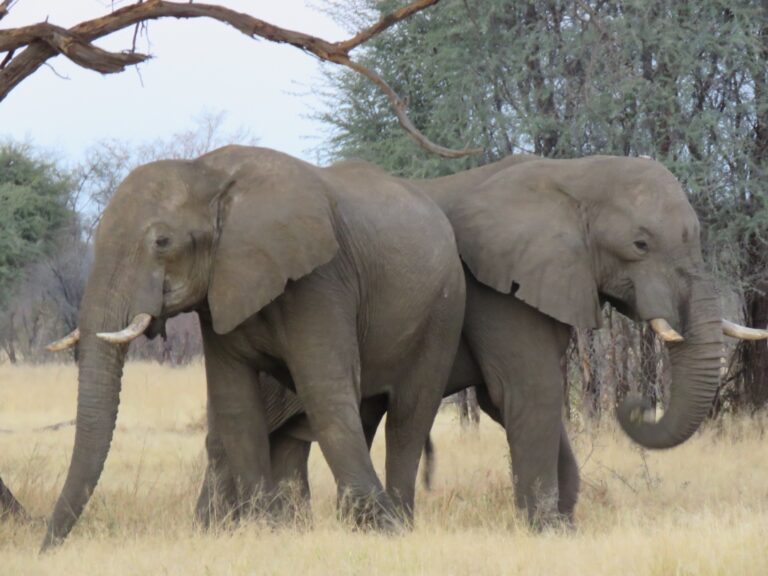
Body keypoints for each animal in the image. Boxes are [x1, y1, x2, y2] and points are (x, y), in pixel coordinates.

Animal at [41, 145, 465, 550]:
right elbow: (236, 402)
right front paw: (266, 529)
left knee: (408, 417)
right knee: (367, 413)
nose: (46, 548)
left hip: (443, 311)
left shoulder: (321, 281)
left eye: (162, 242)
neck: (207, 173)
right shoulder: (221, 291)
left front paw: (381, 529)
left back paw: (398, 522)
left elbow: (324, 389)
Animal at [198, 154, 766, 528]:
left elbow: (510, 399)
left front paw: (563, 523)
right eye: (640, 245)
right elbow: (527, 390)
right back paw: (229, 528)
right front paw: (547, 528)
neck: (573, 174)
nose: (636, 404)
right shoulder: (497, 290)